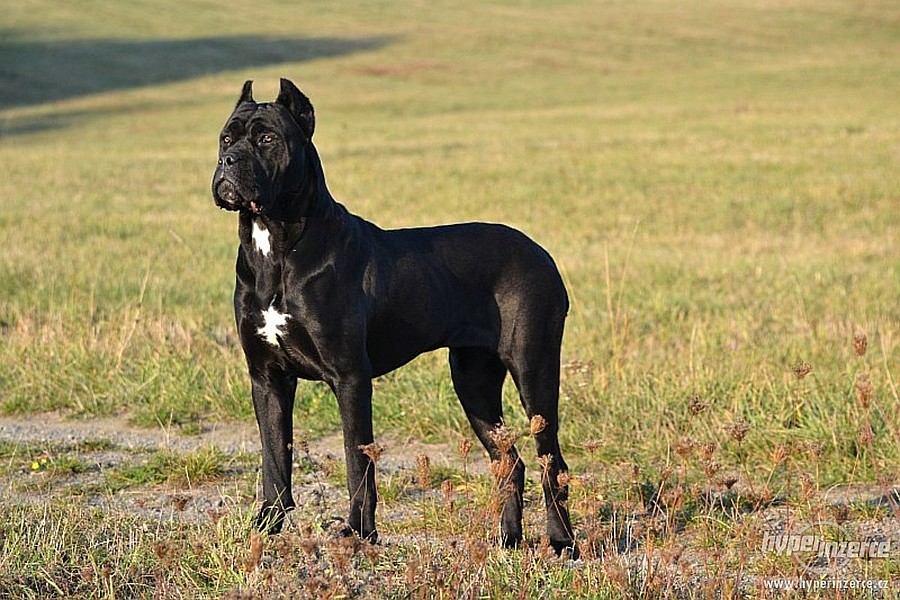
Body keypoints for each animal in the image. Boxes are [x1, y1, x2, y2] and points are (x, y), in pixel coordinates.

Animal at [211, 79, 576, 556]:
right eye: (226, 138)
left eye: (268, 139)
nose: (227, 161)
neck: (275, 246)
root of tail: (542, 253)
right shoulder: (267, 376)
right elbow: (274, 460)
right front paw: (265, 528)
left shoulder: (350, 377)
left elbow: (357, 461)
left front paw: (359, 533)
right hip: (473, 380)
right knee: (509, 462)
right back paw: (508, 540)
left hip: (534, 368)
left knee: (551, 460)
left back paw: (562, 541)